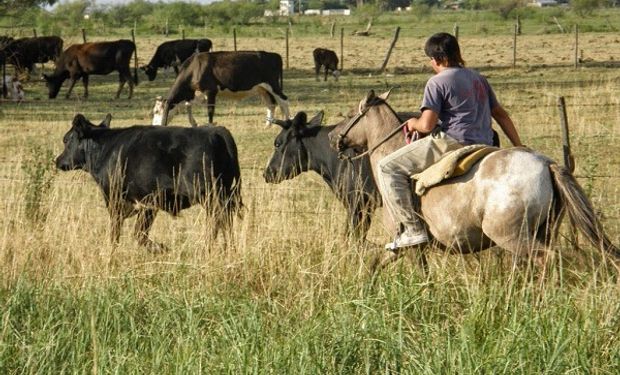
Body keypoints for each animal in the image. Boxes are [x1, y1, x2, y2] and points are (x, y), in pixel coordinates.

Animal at [56, 112, 242, 253]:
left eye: (66, 140)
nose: (57, 160)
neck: (107, 149)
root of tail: (216, 131)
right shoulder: (147, 205)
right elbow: (139, 233)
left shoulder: (119, 199)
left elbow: (122, 232)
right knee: (225, 223)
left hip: (209, 195)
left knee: (217, 220)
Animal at [157, 50, 288, 127]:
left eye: (157, 111)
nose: (156, 126)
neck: (195, 68)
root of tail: (274, 55)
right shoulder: (197, 93)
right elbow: (188, 105)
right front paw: (193, 123)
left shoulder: (210, 91)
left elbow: (210, 110)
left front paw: (209, 125)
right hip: (262, 89)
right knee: (271, 104)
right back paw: (267, 125)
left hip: (272, 85)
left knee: (284, 100)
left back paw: (287, 122)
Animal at [326, 91, 616, 270]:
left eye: (351, 114)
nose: (332, 137)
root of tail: (546, 163)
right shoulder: (402, 249)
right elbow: (377, 266)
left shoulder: (408, 245)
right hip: (541, 231)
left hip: (512, 236)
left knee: (547, 260)